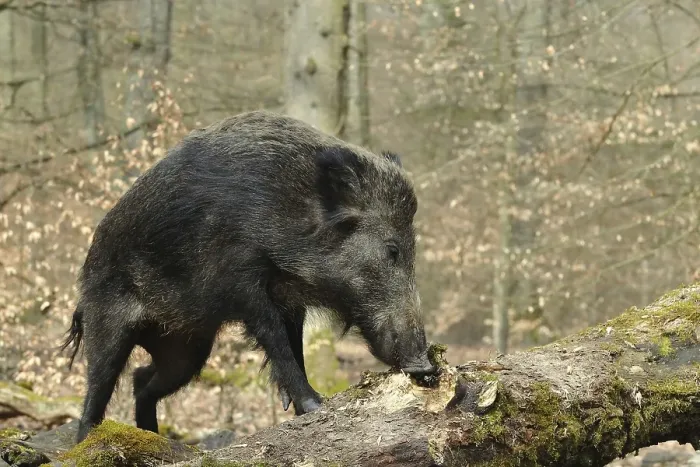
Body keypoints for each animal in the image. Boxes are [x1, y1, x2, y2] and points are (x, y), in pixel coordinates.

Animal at [60, 110, 436, 443]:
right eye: (392, 250)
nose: (426, 366)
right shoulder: (241, 280)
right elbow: (277, 340)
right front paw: (315, 405)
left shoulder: (289, 297)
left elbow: (295, 344)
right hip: (107, 321)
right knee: (98, 385)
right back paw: (87, 439)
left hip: (187, 348)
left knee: (142, 381)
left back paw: (152, 437)